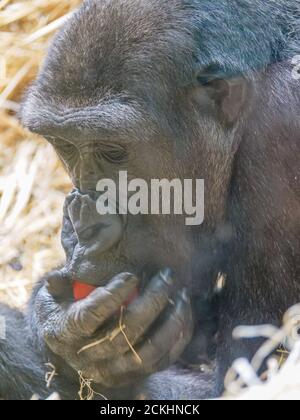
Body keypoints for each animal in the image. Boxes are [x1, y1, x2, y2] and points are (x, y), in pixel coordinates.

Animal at [0, 0, 300, 400]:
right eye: (66, 147)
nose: (86, 223)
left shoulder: (281, 131)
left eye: (113, 152)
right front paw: (56, 323)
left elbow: (243, 378)